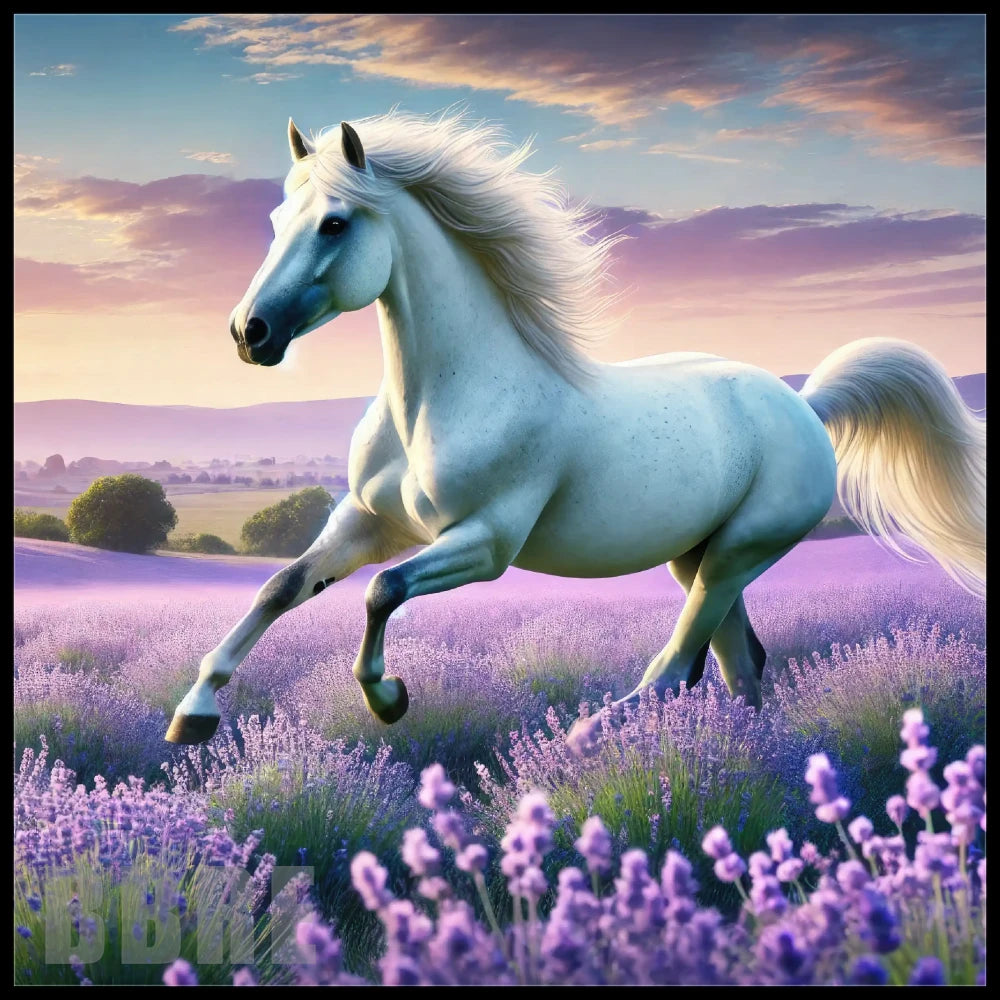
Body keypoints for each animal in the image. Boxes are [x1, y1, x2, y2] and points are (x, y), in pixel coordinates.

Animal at [165, 110, 986, 750]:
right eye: (278, 223)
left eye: (335, 224)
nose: (249, 333)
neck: (446, 398)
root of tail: (806, 408)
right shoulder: (369, 521)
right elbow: (283, 585)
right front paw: (193, 713)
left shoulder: (486, 543)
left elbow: (381, 591)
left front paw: (388, 698)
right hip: (701, 557)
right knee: (740, 665)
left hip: (742, 549)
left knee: (675, 671)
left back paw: (585, 740)